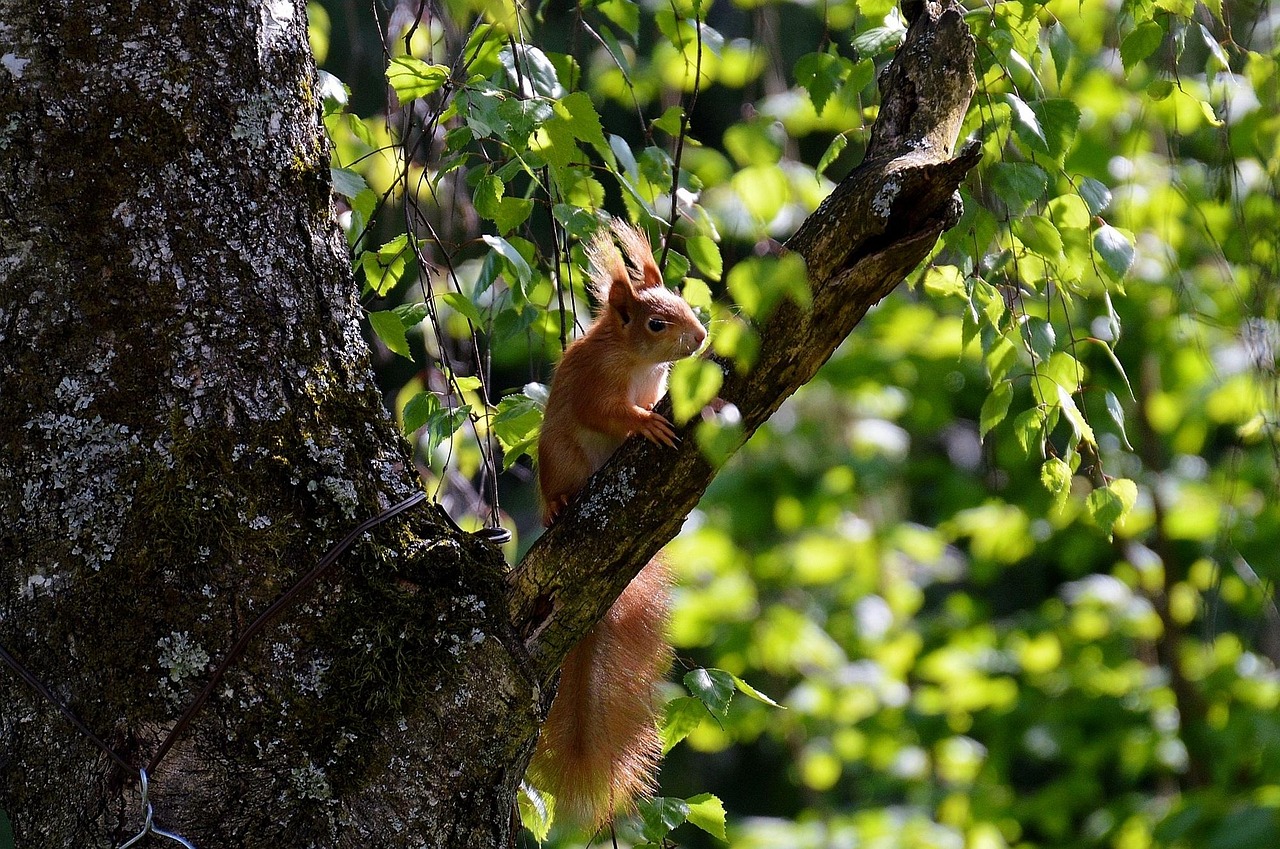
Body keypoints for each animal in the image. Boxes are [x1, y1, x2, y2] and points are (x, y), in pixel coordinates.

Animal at [527, 218, 711, 829]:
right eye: (656, 322)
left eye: (683, 301)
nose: (701, 337)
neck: (636, 362)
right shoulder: (592, 383)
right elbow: (604, 412)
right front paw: (643, 423)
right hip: (559, 460)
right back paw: (557, 504)